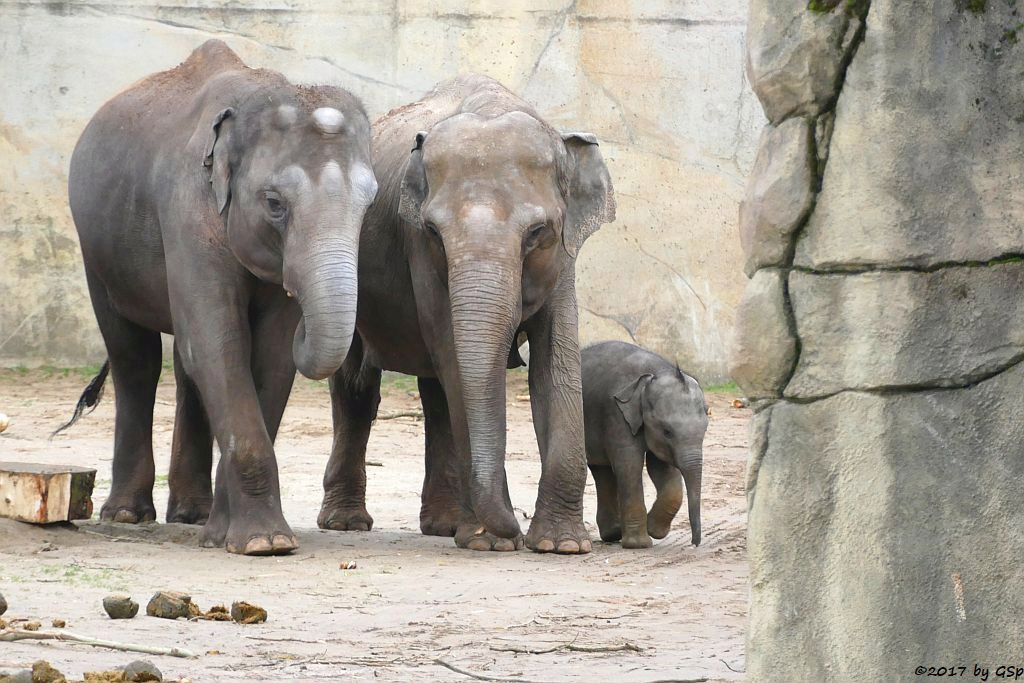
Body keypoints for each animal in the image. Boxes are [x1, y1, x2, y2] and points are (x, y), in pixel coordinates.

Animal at [62, 40, 376, 557]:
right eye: (274, 203)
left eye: (369, 203)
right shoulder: (186, 208)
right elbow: (219, 341)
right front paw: (263, 542)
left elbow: (269, 355)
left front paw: (231, 535)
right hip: (96, 251)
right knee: (135, 358)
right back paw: (127, 514)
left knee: (185, 366)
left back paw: (192, 515)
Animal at [317, 74, 614, 557]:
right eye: (434, 232)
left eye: (538, 232)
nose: (515, 524)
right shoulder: (420, 252)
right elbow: (455, 360)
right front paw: (489, 542)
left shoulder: (563, 256)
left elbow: (555, 363)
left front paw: (562, 545)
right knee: (357, 388)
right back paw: (347, 522)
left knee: (433, 393)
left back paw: (443, 524)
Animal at [585, 342, 704, 548]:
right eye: (667, 432)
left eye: (705, 429)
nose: (694, 543)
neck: (654, 372)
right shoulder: (616, 414)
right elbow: (629, 465)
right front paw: (639, 544)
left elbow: (660, 468)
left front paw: (654, 530)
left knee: (602, 471)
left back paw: (613, 533)